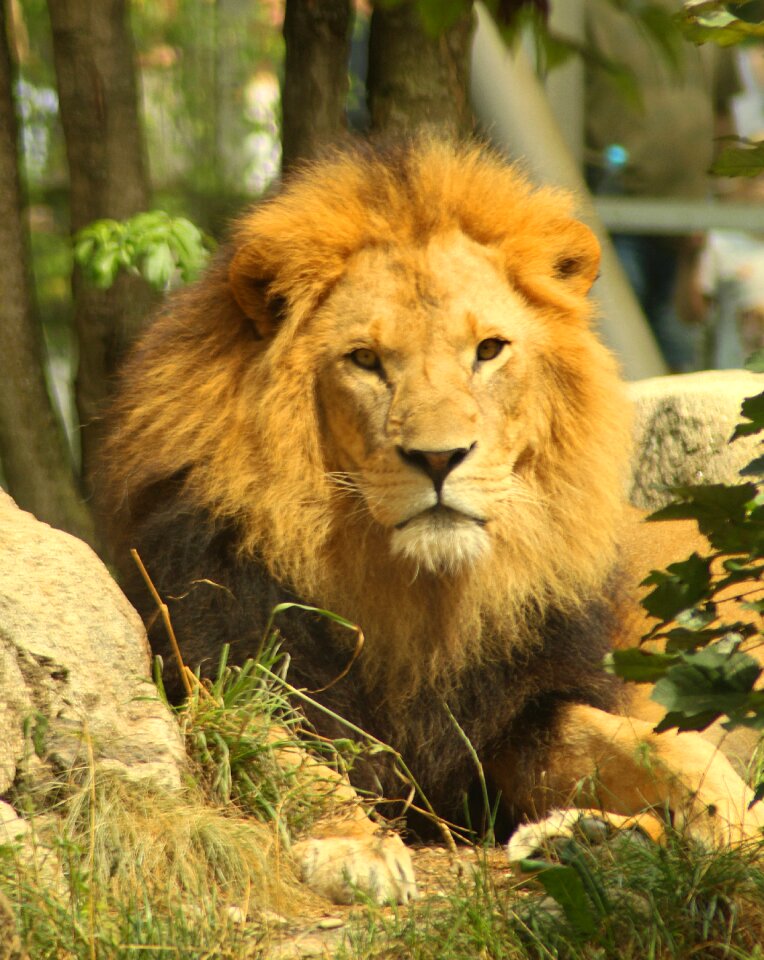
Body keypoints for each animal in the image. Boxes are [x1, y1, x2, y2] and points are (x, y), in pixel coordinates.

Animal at [100, 139, 760, 904]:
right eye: (364, 360)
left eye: (489, 350)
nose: (439, 457)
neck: (419, 597)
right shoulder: (222, 673)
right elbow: (286, 758)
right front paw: (354, 845)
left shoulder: (518, 709)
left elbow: (647, 744)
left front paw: (727, 815)